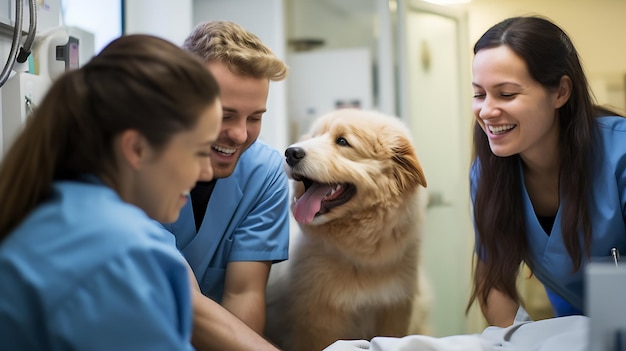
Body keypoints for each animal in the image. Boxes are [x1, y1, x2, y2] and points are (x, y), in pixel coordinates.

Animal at [264, 108, 428, 351]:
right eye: (313, 137)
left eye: (342, 141)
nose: (291, 152)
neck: (361, 257)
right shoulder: (317, 326)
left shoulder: (394, 312)